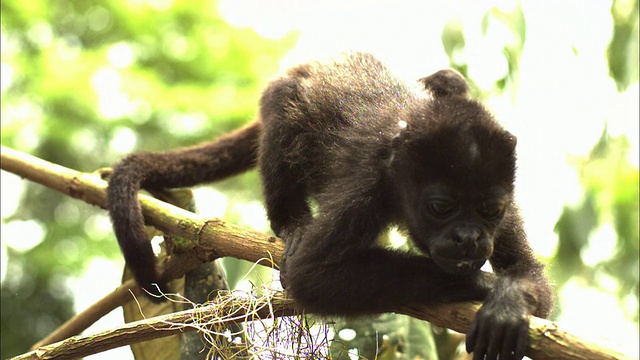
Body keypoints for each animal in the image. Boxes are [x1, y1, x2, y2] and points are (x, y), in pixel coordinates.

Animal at [107, 52, 552, 358]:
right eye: (441, 207)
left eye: (489, 210)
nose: (469, 238)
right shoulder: (365, 189)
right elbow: (311, 278)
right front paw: (478, 284)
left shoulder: (507, 201)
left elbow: (533, 282)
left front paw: (507, 303)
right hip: (280, 100)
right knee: (284, 115)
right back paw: (292, 223)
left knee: (447, 79)